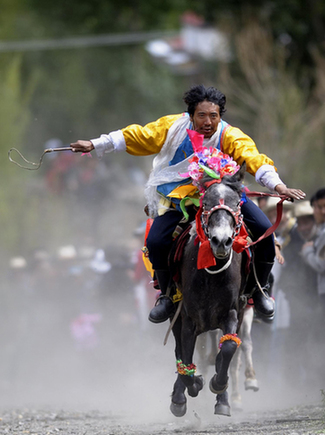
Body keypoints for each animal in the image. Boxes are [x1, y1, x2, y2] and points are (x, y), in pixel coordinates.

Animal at [168, 164, 247, 418]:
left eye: (237, 203)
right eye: (205, 203)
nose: (221, 241)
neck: (211, 273)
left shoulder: (231, 312)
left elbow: (229, 348)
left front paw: (218, 385)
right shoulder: (188, 318)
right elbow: (185, 356)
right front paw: (191, 387)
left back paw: (223, 399)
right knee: (180, 352)